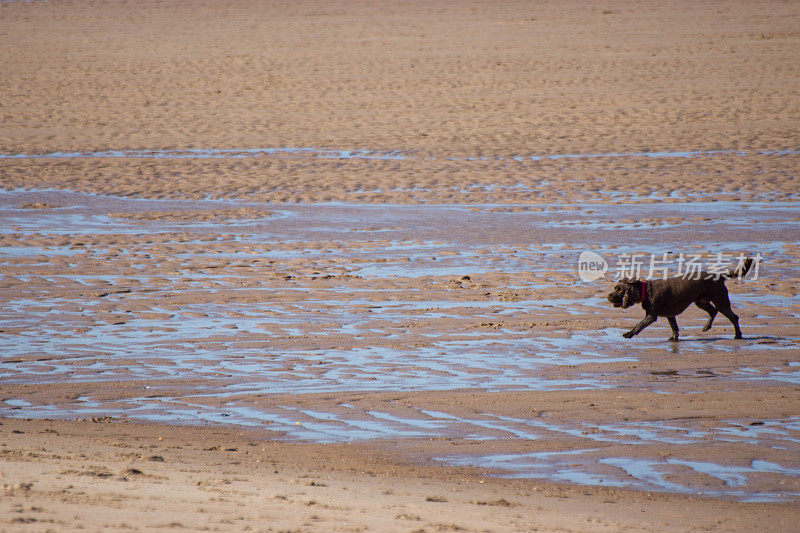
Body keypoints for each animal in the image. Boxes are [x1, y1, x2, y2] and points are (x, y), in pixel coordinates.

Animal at [608, 258, 752, 340]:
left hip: (720, 300)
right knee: (713, 312)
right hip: (701, 301)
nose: (608, 296)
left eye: (619, 290)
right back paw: (706, 327)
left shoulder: (651, 316)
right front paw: (674, 338)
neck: (645, 290)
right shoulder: (669, 314)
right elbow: (674, 326)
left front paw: (629, 334)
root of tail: (719, 275)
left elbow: (639, 325)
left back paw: (738, 335)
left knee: (733, 317)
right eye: (615, 288)